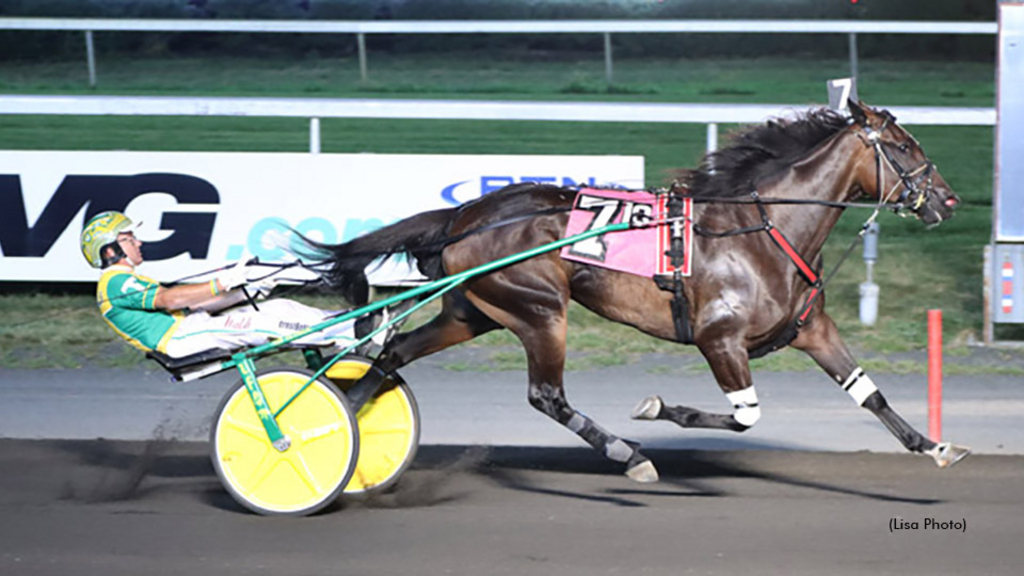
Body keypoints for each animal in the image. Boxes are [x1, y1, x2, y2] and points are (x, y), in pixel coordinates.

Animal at [301, 99, 966, 479]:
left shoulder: (813, 330)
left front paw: (934, 446)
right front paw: (656, 410)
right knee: (547, 396)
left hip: (475, 310)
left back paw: (339, 430)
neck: (763, 230)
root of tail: (468, 214)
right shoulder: (719, 339)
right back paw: (631, 456)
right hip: (541, 309)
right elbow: (743, 417)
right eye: (904, 147)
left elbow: (869, 394)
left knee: (391, 356)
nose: (948, 200)